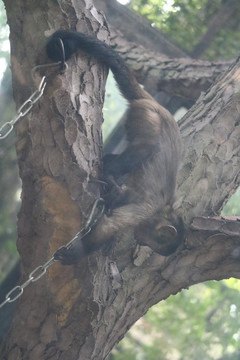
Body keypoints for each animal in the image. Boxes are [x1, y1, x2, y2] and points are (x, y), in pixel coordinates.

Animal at [46, 29, 184, 262]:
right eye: (154, 243)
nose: (140, 242)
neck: (163, 211)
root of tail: (157, 105)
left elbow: (122, 200)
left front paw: (116, 196)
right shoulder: (144, 211)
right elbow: (110, 225)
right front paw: (76, 255)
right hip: (147, 115)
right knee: (149, 146)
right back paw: (110, 172)